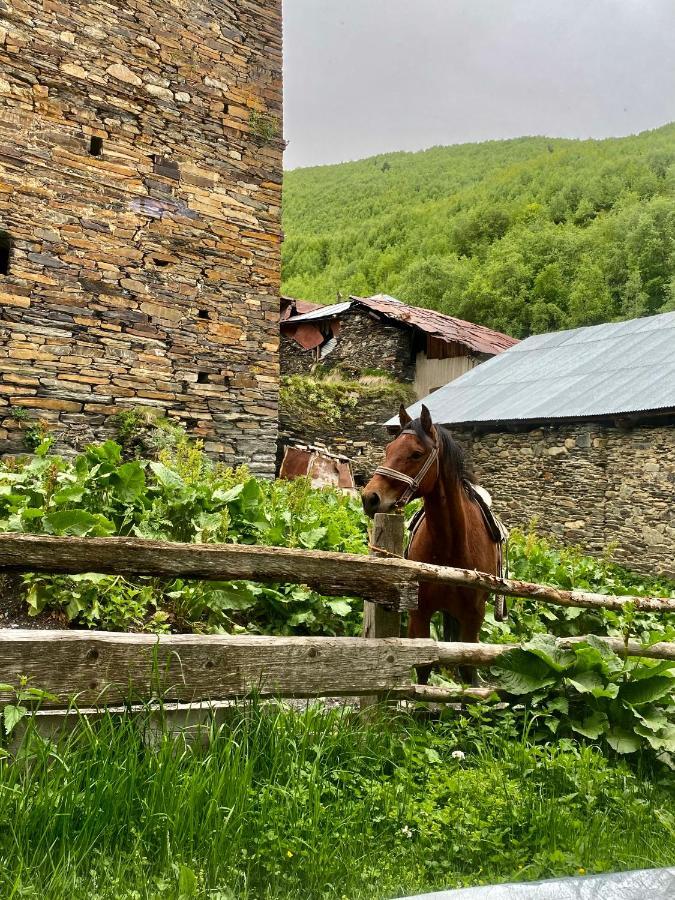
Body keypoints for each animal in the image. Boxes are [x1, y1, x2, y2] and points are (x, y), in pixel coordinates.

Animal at [362, 402, 500, 684]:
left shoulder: (473, 618)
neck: (451, 548)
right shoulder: (420, 612)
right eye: (388, 450)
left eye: (416, 454)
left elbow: (469, 668)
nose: (370, 497)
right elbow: (423, 666)